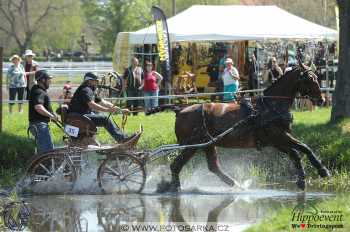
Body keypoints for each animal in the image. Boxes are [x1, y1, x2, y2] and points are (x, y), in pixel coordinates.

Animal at [157, 60, 330, 192]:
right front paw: (321, 172)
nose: (321, 99)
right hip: (192, 145)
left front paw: (305, 178)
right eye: (309, 79)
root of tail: (180, 109)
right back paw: (174, 188)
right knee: (176, 165)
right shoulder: (279, 136)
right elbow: (303, 149)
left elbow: (296, 153)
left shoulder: (276, 140)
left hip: (208, 144)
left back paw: (235, 185)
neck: (270, 106)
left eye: (316, 77)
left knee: (213, 167)